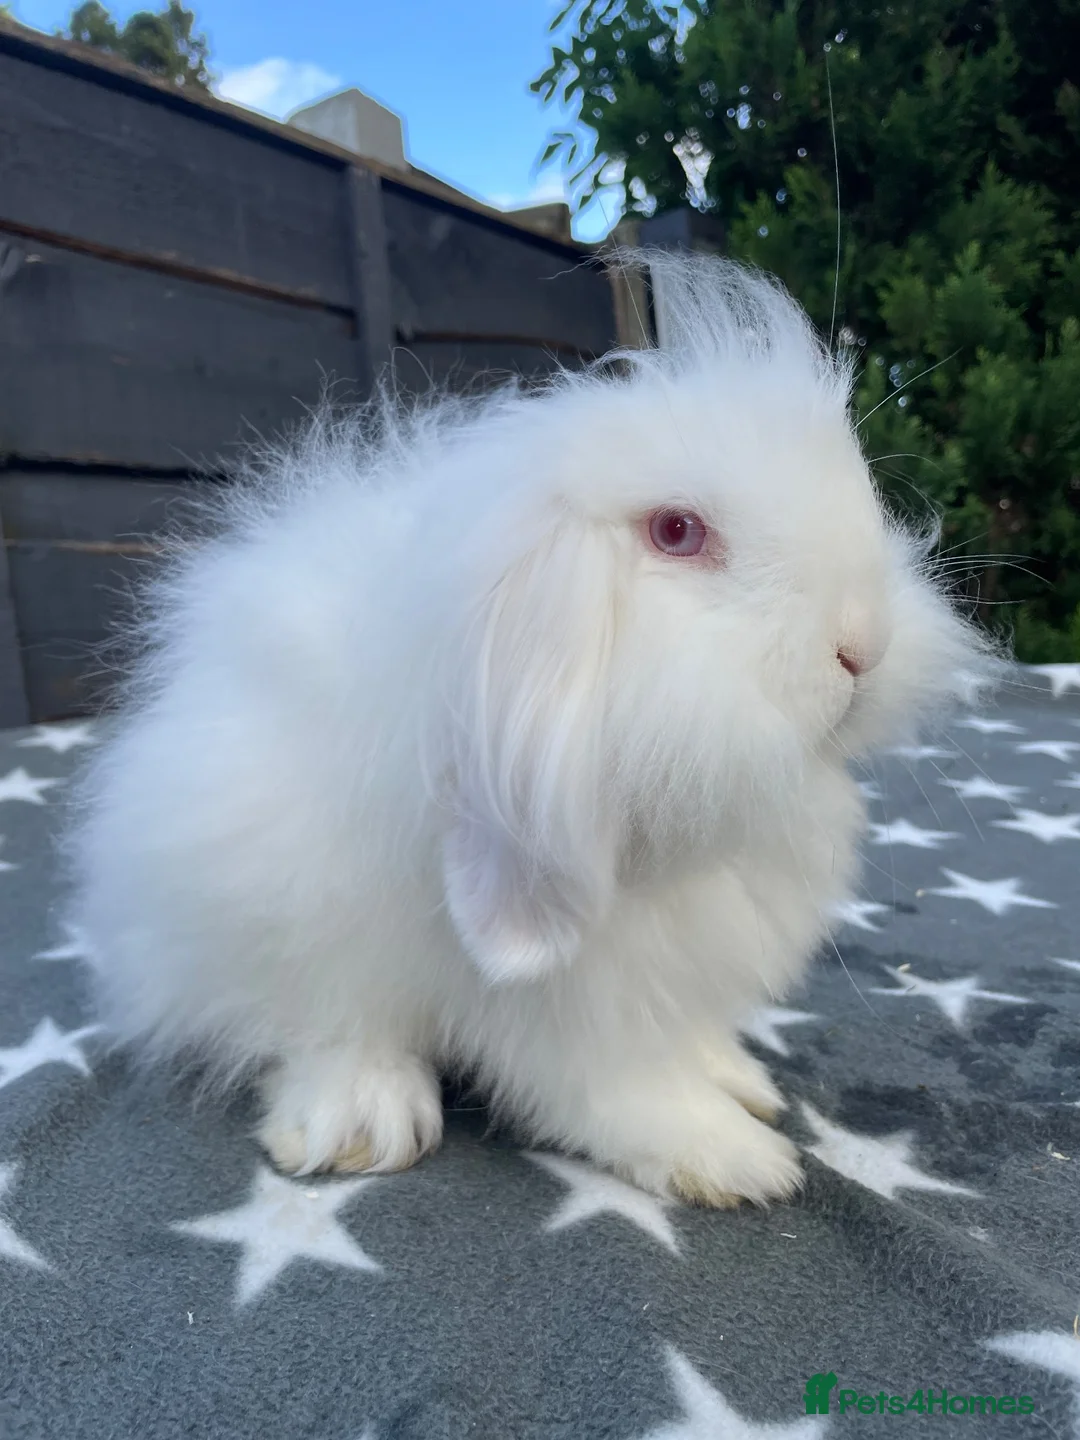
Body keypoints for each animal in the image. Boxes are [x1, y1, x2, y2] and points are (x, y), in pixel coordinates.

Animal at [64, 252, 997, 1207]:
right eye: (677, 531)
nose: (863, 647)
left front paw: (737, 1080)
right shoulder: (579, 988)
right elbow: (615, 1083)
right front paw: (733, 1158)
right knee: (306, 1021)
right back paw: (362, 1120)